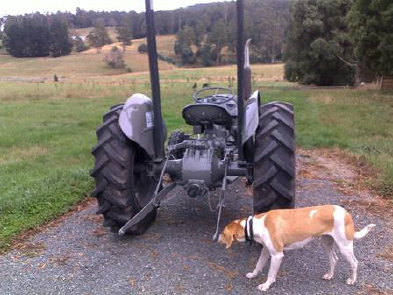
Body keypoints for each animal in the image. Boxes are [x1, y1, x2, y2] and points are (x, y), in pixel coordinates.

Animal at [217, 206, 374, 294]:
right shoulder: (266, 251)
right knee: (334, 259)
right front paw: (253, 275)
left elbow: (270, 274)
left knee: (354, 263)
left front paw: (266, 286)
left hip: (345, 246)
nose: (217, 238)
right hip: (327, 242)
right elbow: (259, 265)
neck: (257, 224)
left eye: (223, 233)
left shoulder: (277, 255)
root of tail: (346, 213)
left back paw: (352, 280)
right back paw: (329, 275)